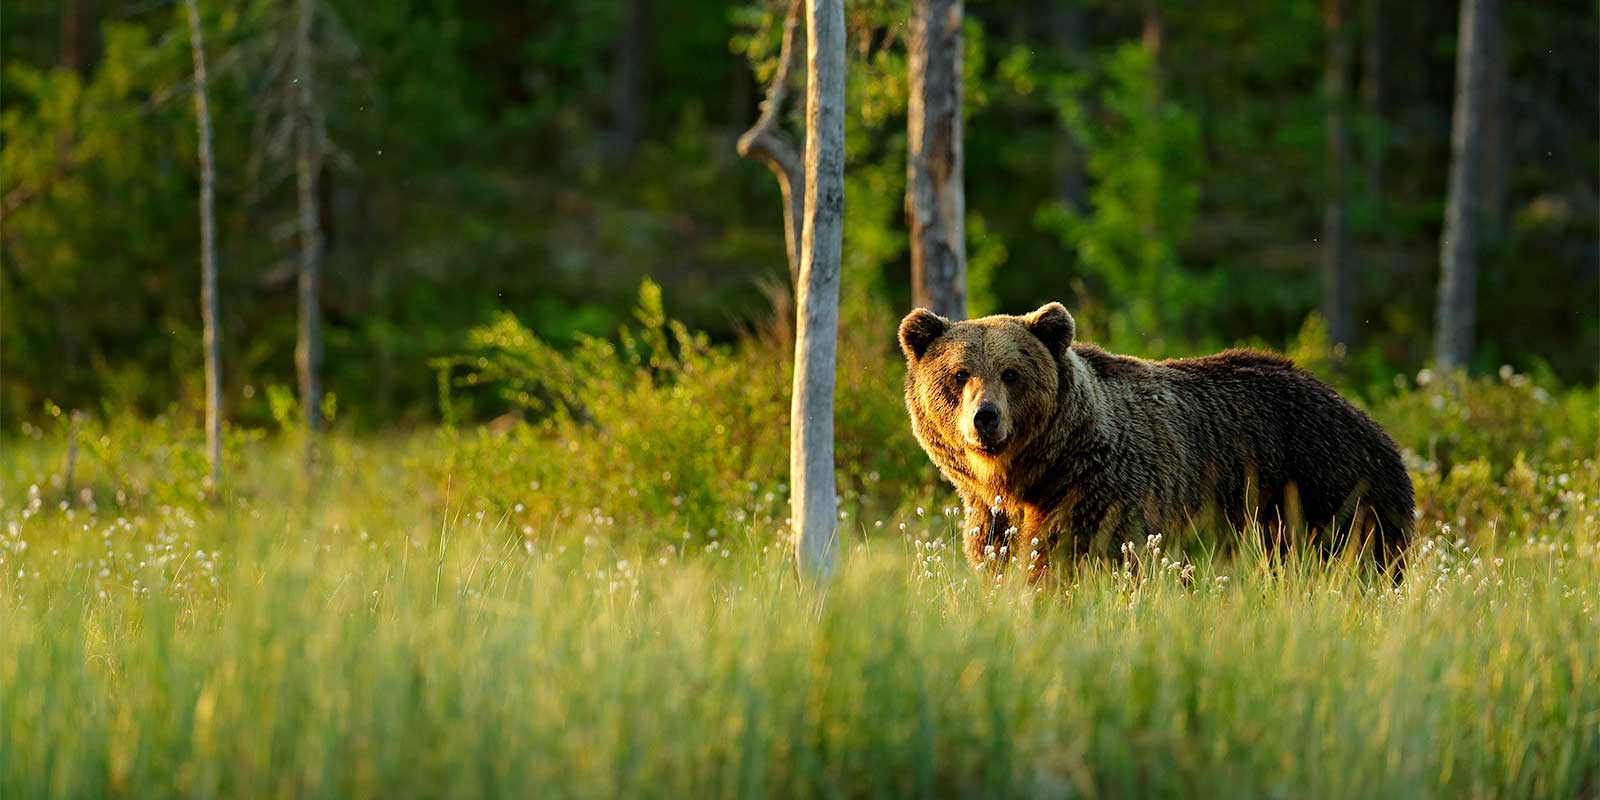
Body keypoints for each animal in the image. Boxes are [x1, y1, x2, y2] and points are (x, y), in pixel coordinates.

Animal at [898, 302, 1414, 579]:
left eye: (1011, 373)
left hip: (1328, 491)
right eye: (959, 373)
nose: (985, 418)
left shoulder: (1103, 494)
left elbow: (1069, 560)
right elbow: (1000, 559)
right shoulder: (993, 518)